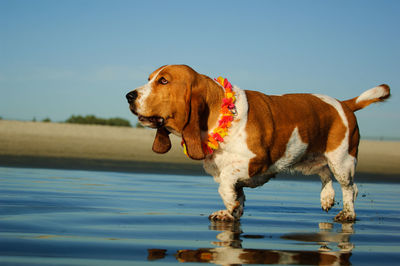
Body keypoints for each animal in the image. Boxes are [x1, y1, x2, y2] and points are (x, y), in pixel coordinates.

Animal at [126, 65, 390, 222]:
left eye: (163, 81)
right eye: (149, 79)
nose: (129, 95)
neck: (219, 113)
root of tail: (343, 104)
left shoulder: (256, 161)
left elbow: (227, 183)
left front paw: (229, 204)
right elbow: (237, 193)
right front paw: (230, 212)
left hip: (342, 161)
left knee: (350, 188)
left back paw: (348, 214)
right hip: (313, 158)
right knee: (325, 174)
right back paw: (327, 198)